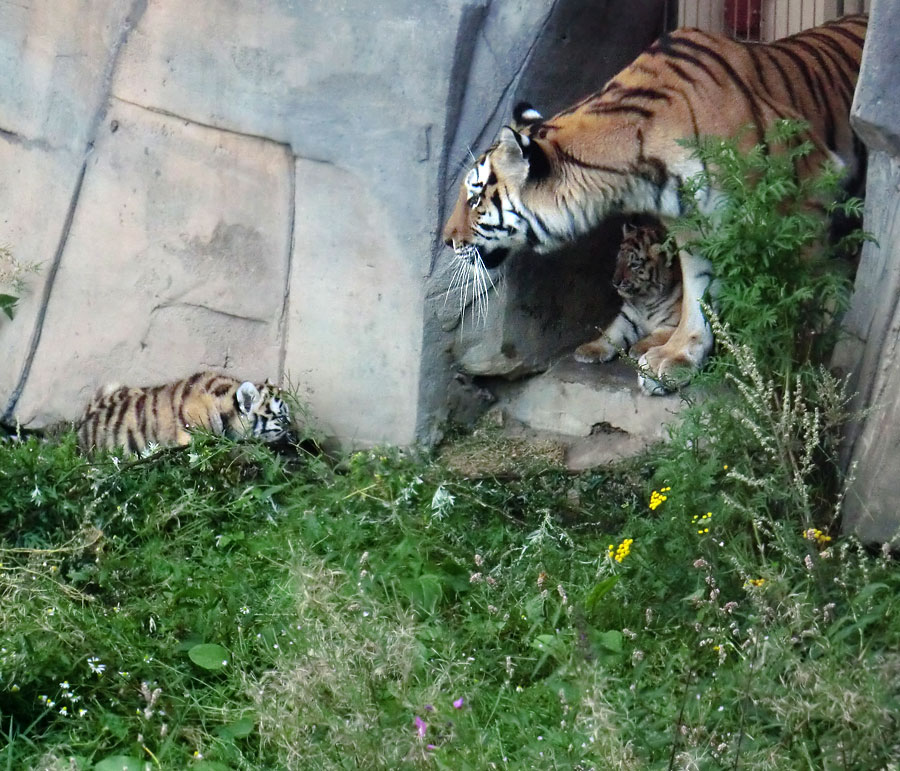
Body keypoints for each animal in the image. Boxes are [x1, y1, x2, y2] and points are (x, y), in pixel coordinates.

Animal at [442, 15, 864, 396]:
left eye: (475, 197)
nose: (447, 240)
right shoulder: (694, 223)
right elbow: (699, 293)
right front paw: (678, 358)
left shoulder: (808, 188)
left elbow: (800, 293)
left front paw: (790, 370)